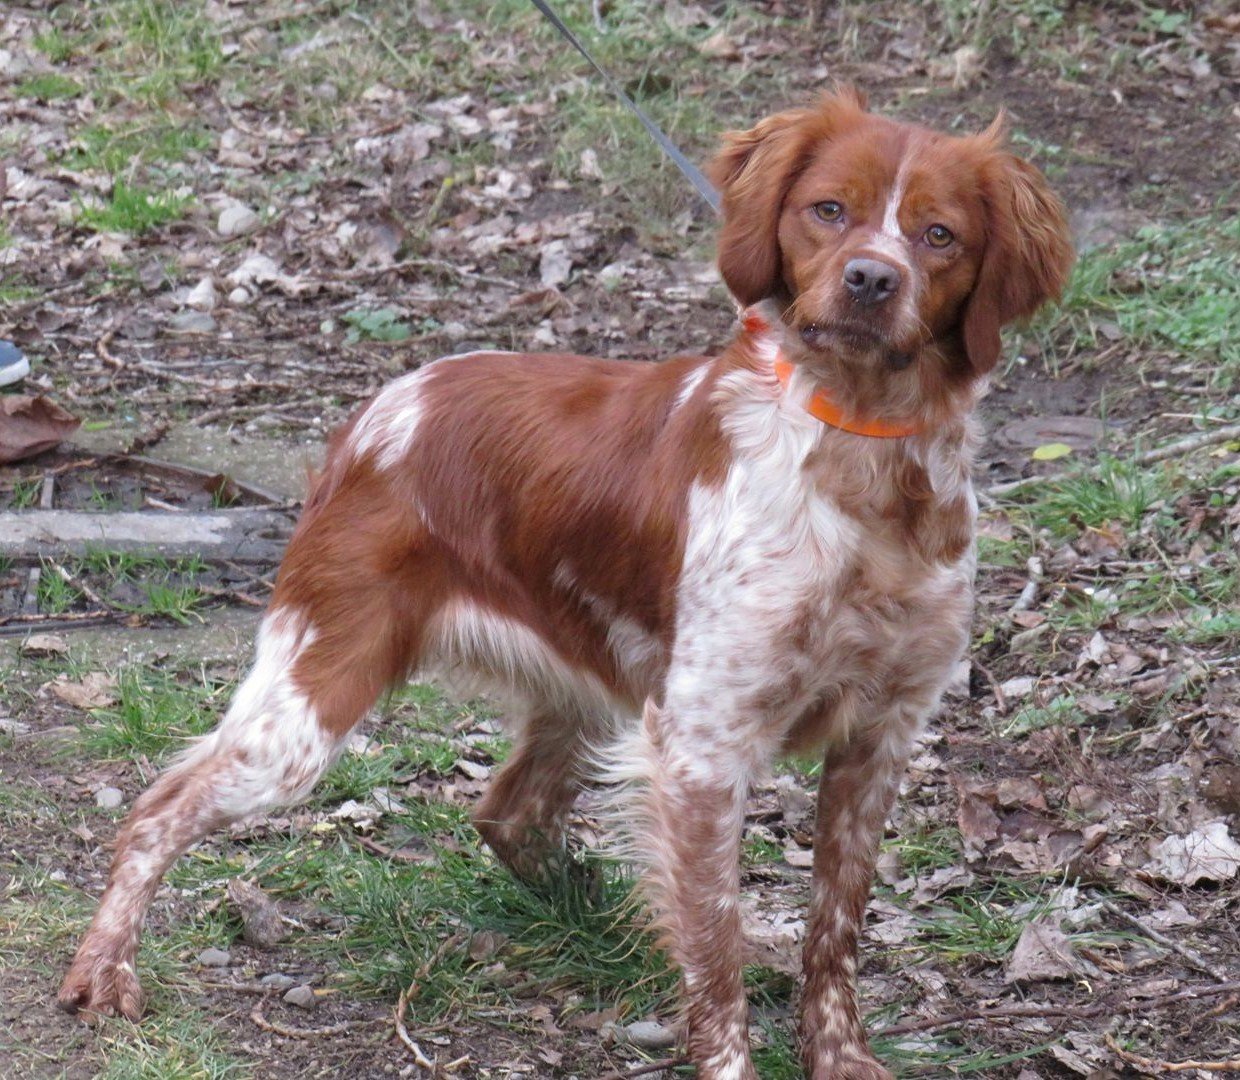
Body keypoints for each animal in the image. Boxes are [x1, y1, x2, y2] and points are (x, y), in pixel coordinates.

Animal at [58, 88, 1071, 1076]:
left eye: (939, 235)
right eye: (829, 211)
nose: (870, 280)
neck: (860, 458)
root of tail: (380, 409)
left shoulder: (881, 737)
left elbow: (835, 930)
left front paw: (840, 1056)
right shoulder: (702, 747)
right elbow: (717, 958)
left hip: (585, 692)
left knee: (509, 812)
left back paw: (599, 919)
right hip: (310, 701)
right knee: (158, 809)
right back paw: (103, 971)